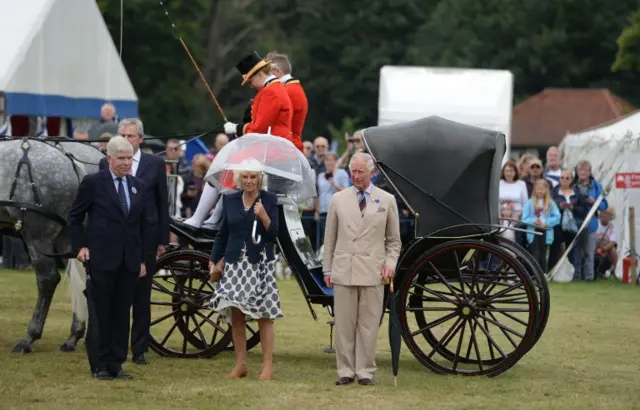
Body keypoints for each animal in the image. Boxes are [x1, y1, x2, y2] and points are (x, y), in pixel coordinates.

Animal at [0, 139, 104, 354]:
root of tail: (71, 161)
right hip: (66, 236)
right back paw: (74, 337)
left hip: (38, 233)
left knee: (47, 279)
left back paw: (28, 338)